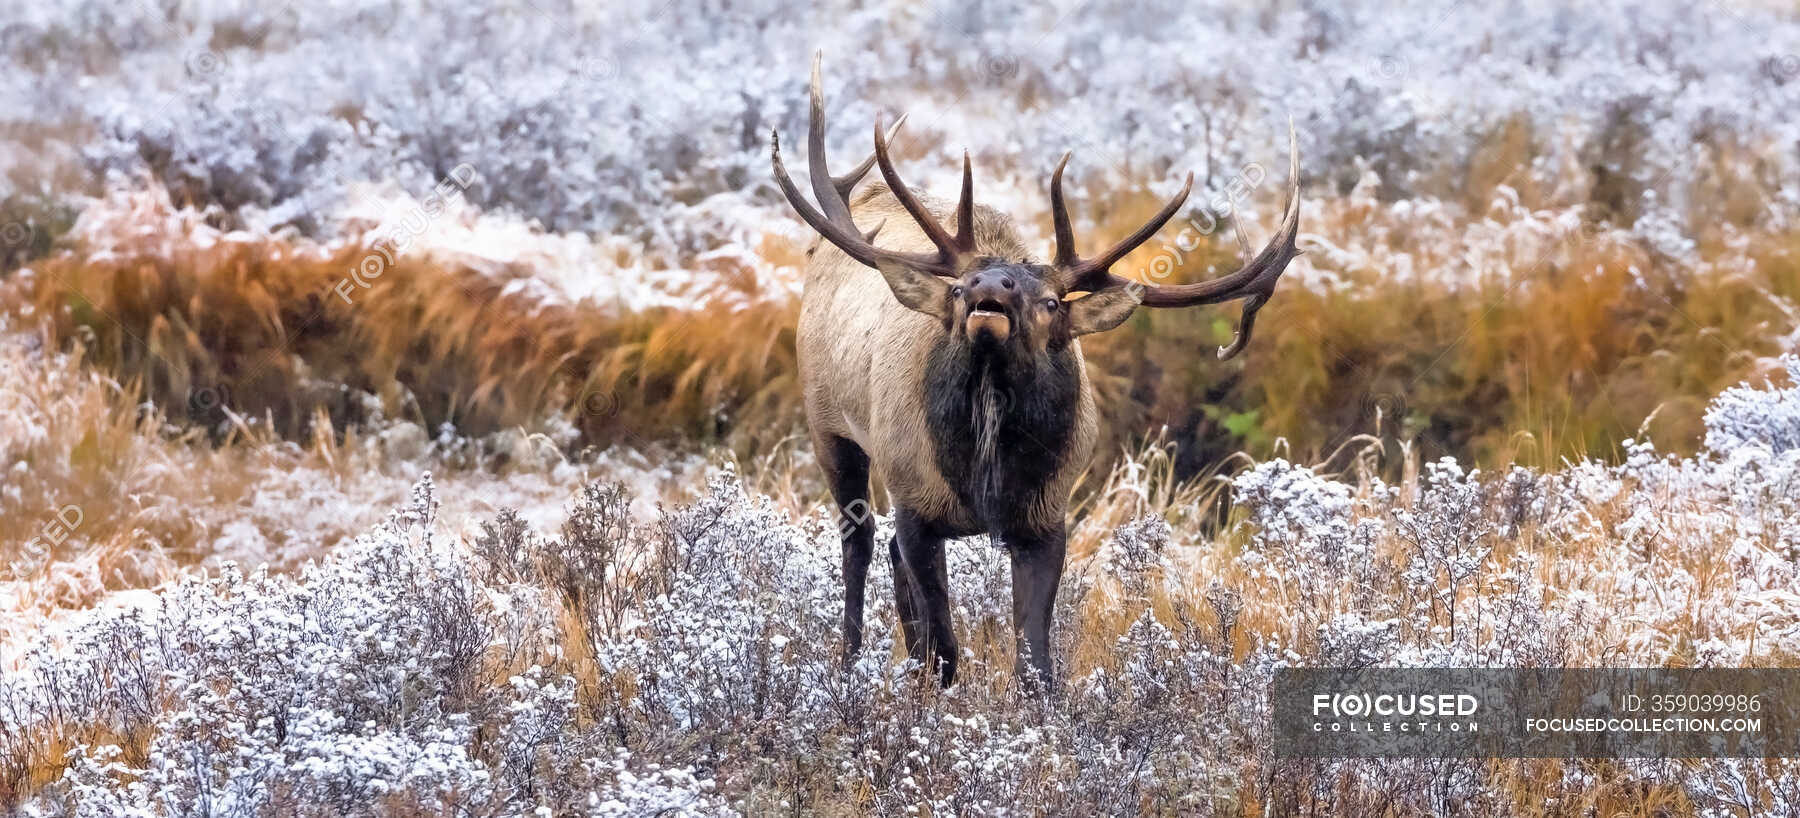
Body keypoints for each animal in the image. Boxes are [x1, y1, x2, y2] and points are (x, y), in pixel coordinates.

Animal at [766, 54, 1303, 691]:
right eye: (957, 288)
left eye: (1049, 302)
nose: (988, 286)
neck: (987, 470)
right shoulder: (916, 498)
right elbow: (947, 646)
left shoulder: (1048, 516)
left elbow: (1037, 663)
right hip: (828, 422)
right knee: (860, 541)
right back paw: (849, 665)